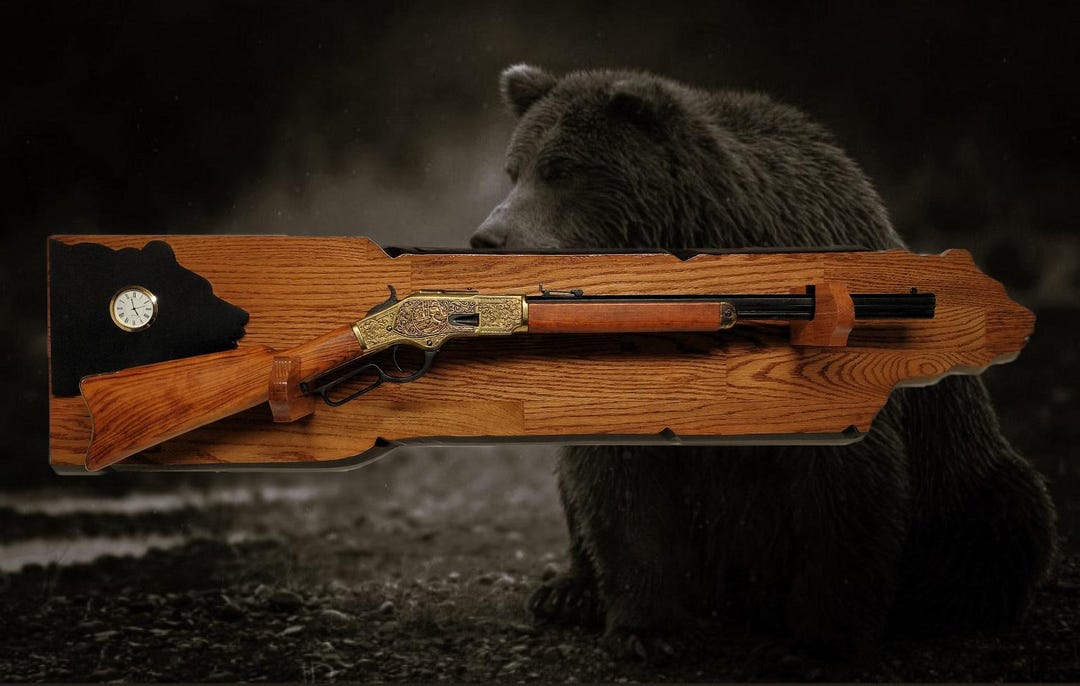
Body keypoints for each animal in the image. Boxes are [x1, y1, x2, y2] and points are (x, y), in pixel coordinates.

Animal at [470, 64, 1058, 663]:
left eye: (559, 169)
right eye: (514, 170)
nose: (489, 237)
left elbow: (843, 487)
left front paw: (825, 638)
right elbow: (620, 484)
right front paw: (647, 629)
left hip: (962, 481)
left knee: (1006, 519)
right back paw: (568, 592)